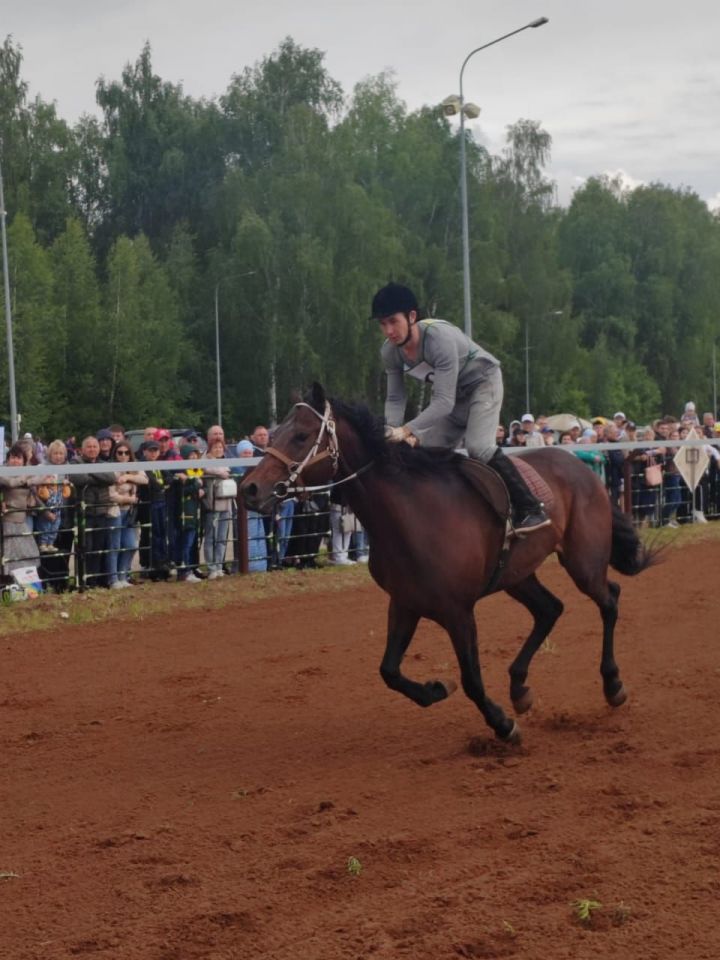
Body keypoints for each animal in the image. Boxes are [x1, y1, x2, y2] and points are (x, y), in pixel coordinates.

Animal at [240, 382, 652, 744]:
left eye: (301, 436)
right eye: (273, 434)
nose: (249, 489)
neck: (411, 514)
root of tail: (582, 467)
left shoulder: (458, 611)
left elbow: (471, 679)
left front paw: (502, 724)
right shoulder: (405, 603)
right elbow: (388, 671)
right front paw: (436, 689)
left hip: (583, 560)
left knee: (609, 599)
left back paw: (612, 684)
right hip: (516, 574)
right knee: (550, 608)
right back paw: (519, 687)